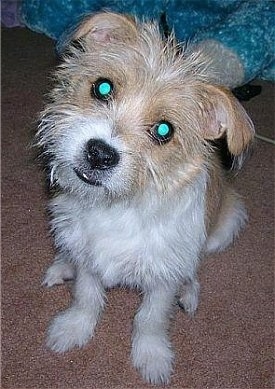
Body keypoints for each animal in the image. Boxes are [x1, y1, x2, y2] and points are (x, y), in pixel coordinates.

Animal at [37, 12, 256, 384]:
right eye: (103, 87)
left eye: (164, 130)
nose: (99, 154)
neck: (119, 205)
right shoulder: (88, 256)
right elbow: (86, 297)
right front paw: (73, 329)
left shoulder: (162, 278)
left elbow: (150, 319)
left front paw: (152, 358)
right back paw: (62, 264)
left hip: (224, 228)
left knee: (193, 267)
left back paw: (189, 292)